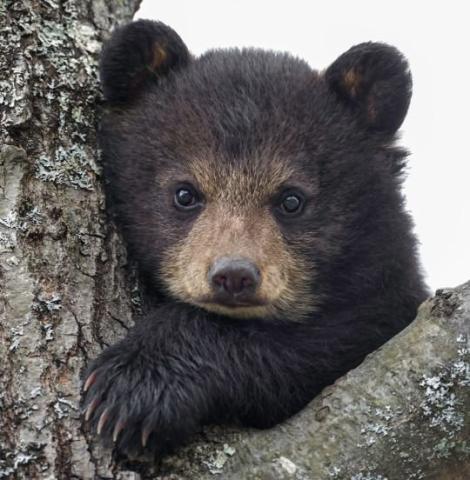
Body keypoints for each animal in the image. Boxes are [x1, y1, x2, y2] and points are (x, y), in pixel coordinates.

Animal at [81, 18, 430, 458]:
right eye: (185, 193)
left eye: (291, 199)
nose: (234, 275)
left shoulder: (386, 301)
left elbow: (325, 342)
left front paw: (132, 388)